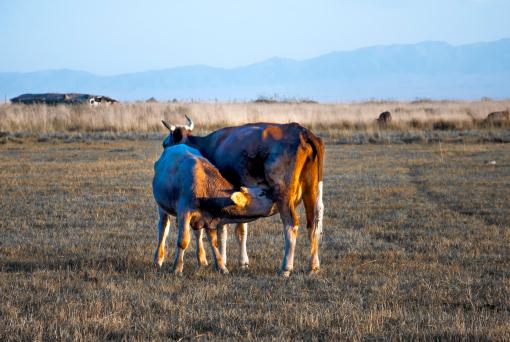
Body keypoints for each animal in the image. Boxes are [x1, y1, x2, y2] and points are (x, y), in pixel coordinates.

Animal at [152, 144, 274, 276]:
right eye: (262, 193)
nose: (276, 195)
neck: (204, 186)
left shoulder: (208, 217)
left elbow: (213, 241)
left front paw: (221, 267)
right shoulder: (184, 212)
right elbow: (183, 241)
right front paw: (177, 268)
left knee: (198, 233)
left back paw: (202, 260)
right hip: (162, 207)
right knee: (163, 228)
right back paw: (158, 260)